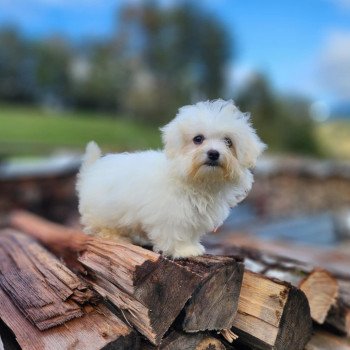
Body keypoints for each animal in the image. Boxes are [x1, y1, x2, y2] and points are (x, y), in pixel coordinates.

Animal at [76, 100, 266, 258]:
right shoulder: (171, 215)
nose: (213, 153)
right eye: (198, 139)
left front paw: (192, 246)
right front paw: (183, 250)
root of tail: (91, 170)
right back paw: (114, 236)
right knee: (98, 227)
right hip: (102, 213)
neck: (198, 181)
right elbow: (175, 233)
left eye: (228, 141)